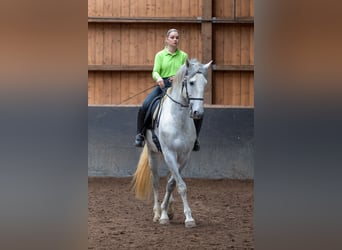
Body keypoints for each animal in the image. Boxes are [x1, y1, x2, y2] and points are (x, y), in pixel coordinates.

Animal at [132, 59, 212, 229]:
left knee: (169, 179)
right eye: (191, 82)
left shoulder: (184, 157)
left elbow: (172, 184)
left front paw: (169, 212)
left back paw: (168, 209)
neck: (178, 119)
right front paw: (177, 217)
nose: (198, 113)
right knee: (155, 181)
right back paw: (156, 213)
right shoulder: (169, 153)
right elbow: (180, 186)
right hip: (153, 154)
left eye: (205, 83)